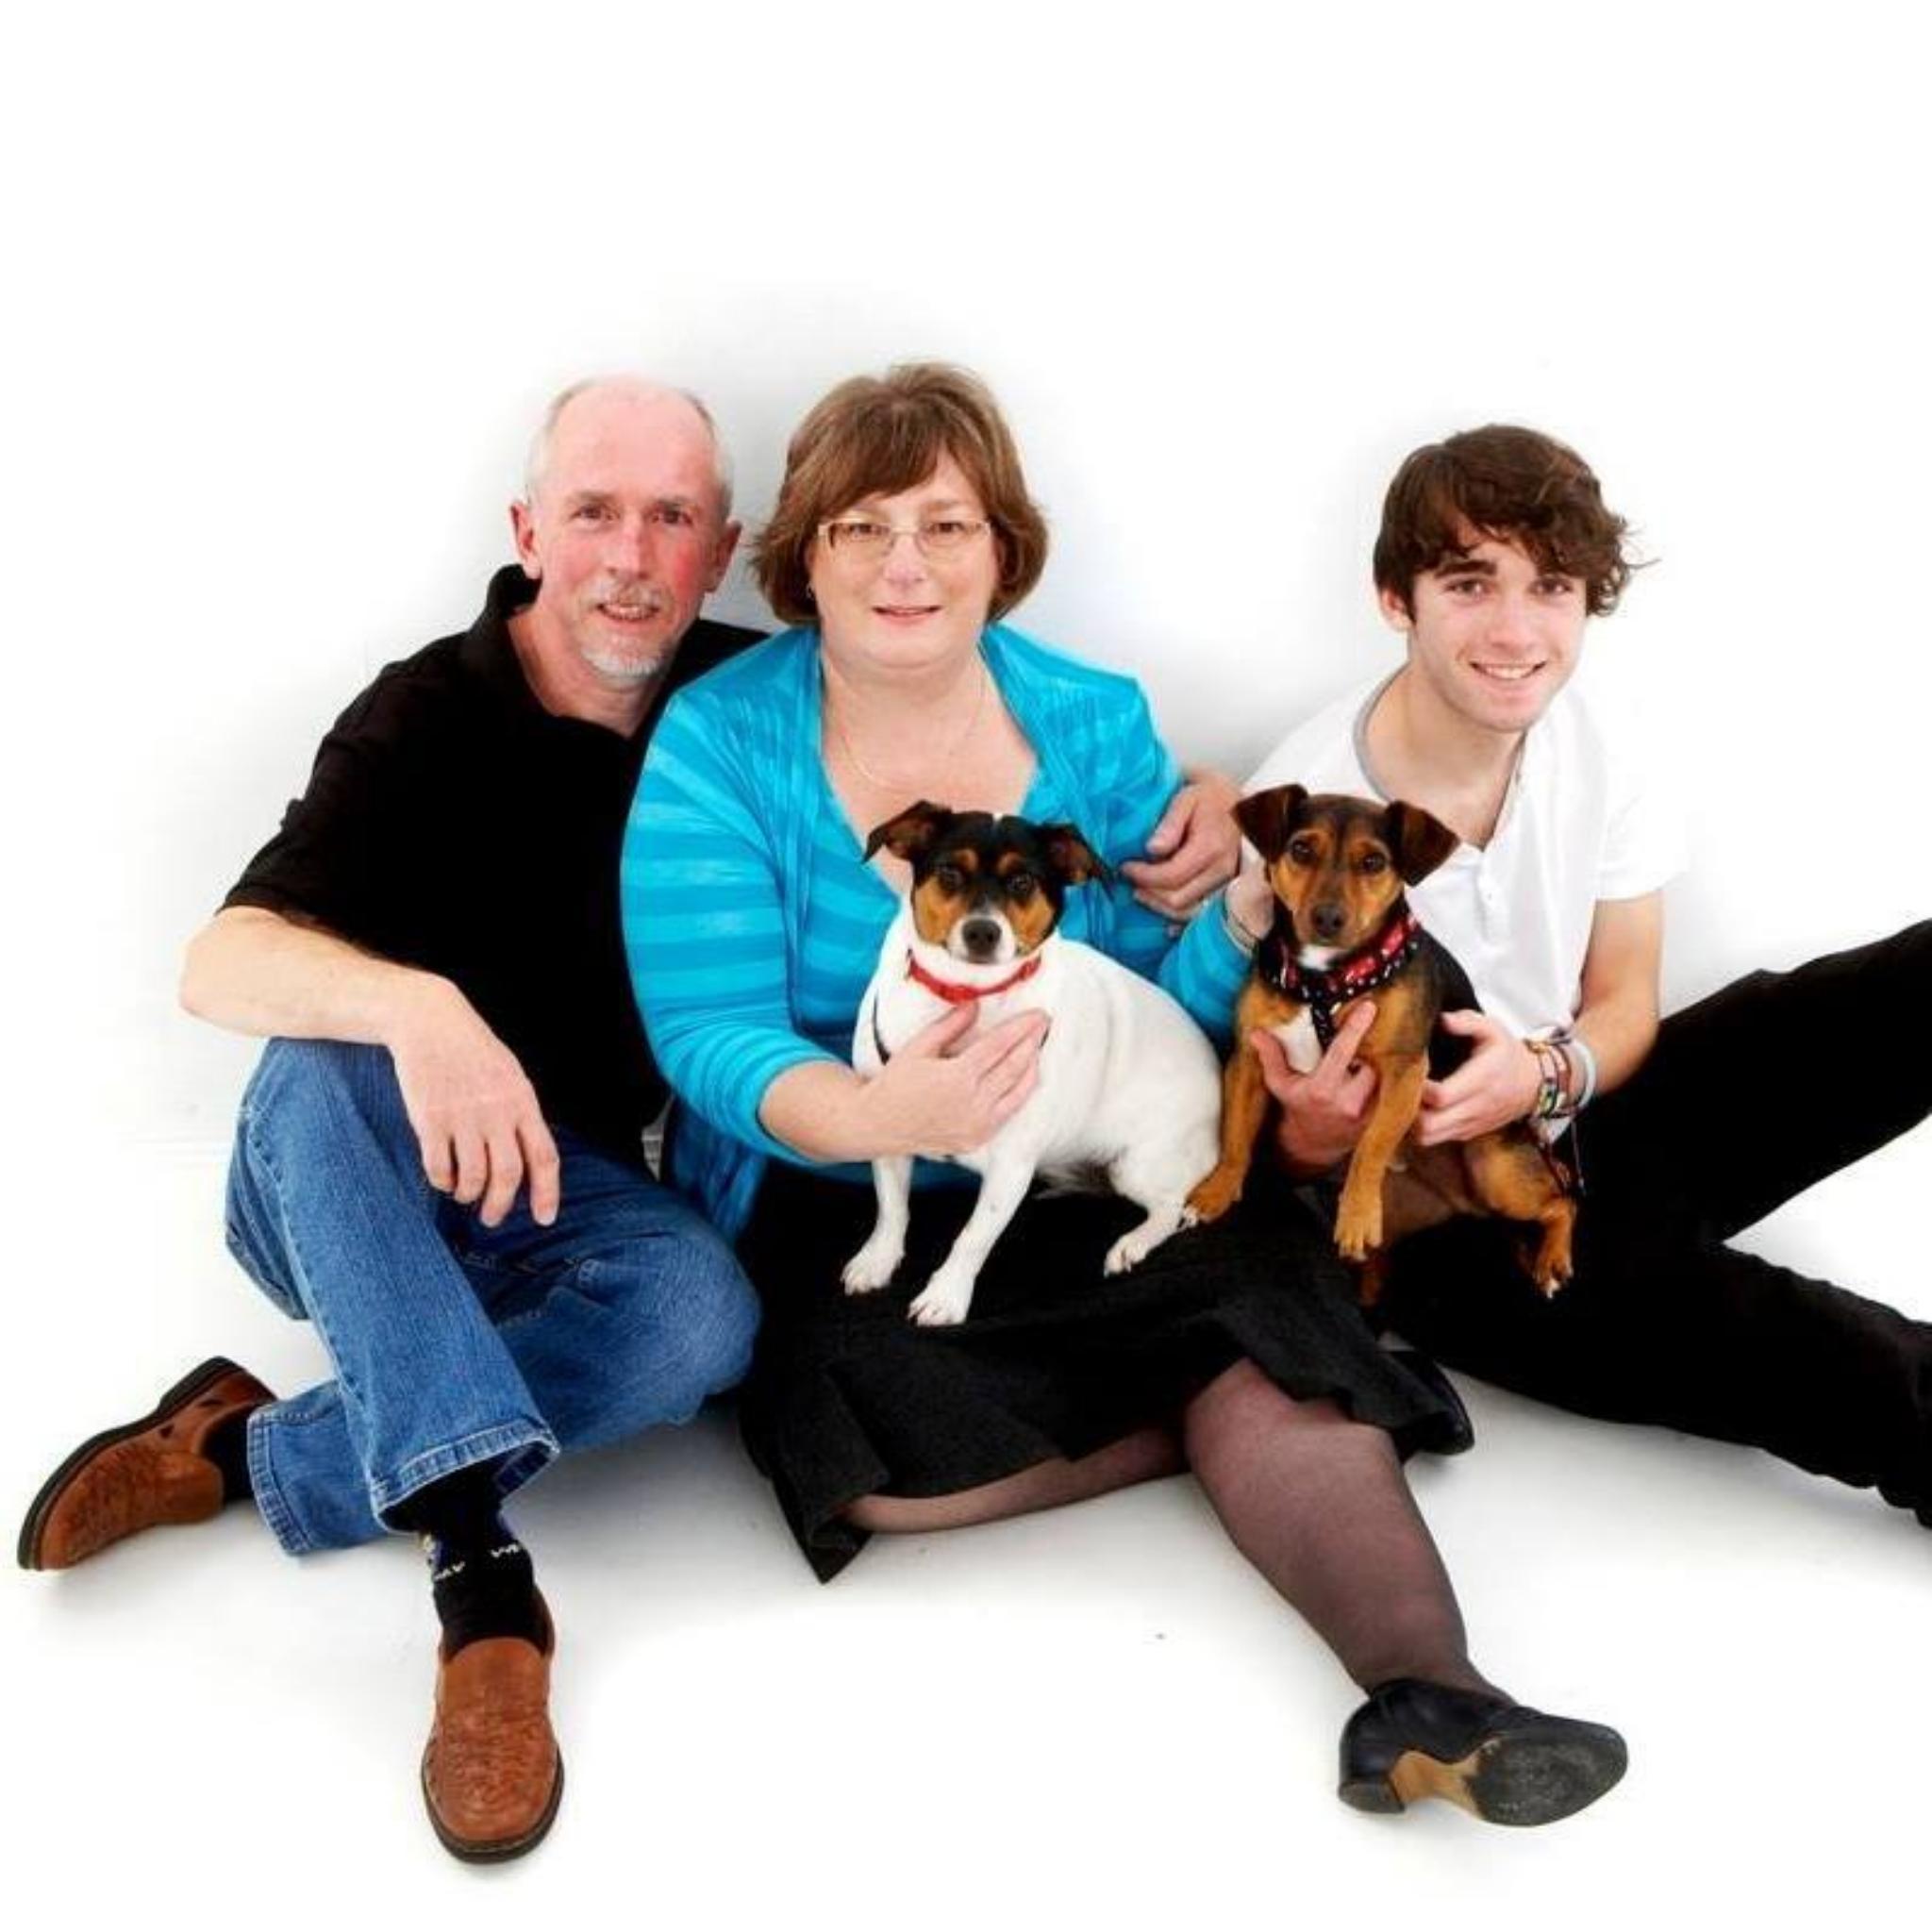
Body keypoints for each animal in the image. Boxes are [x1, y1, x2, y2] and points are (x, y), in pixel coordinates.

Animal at [842, 801, 1223, 1327]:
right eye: (949, 873)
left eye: (1023, 882)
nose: (982, 931)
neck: (969, 995)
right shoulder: (890, 1131)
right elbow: (892, 1210)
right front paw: (878, 1260)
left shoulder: (1011, 1167)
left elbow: (973, 1238)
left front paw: (946, 1296)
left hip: (1138, 1165)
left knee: (1170, 1208)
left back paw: (1131, 1245)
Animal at [1184, 784, 1576, 1300]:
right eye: (1301, 850)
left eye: (1373, 862)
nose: (1328, 917)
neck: (1324, 978)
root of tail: (1465, 1205)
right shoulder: (1249, 1060)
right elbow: (1235, 1136)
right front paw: (1216, 1191)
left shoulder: (1404, 1071)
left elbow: (1370, 1147)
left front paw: (1353, 1218)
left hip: (1498, 1170)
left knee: (1563, 1199)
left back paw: (1551, 1259)